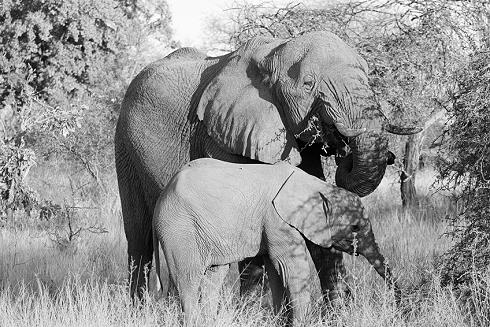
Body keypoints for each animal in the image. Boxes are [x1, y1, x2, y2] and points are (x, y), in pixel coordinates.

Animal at [116, 30, 418, 300]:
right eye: (308, 84)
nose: (341, 145)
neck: (273, 52)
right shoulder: (223, 133)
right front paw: (251, 312)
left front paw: (339, 311)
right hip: (125, 147)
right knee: (138, 237)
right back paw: (139, 307)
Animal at [153, 158, 398, 326]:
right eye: (355, 227)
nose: (399, 302)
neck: (314, 185)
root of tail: (161, 197)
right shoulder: (277, 219)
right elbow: (292, 269)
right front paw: (301, 323)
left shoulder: (275, 224)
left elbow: (276, 270)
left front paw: (280, 321)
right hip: (179, 229)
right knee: (187, 279)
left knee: (214, 276)